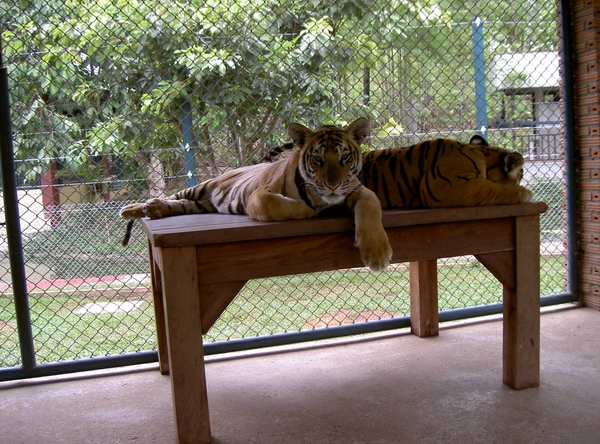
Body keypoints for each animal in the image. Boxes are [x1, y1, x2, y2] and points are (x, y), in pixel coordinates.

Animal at [121, 118, 394, 270]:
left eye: (344, 157)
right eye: (317, 159)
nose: (333, 186)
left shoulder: (358, 189)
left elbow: (370, 205)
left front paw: (377, 253)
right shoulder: (259, 196)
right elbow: (280, 205)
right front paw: (309, 208)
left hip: (198, 204)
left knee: (179, 204)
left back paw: (153, 209)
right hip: (202, 186)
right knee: (173, 196)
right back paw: (134, 208)